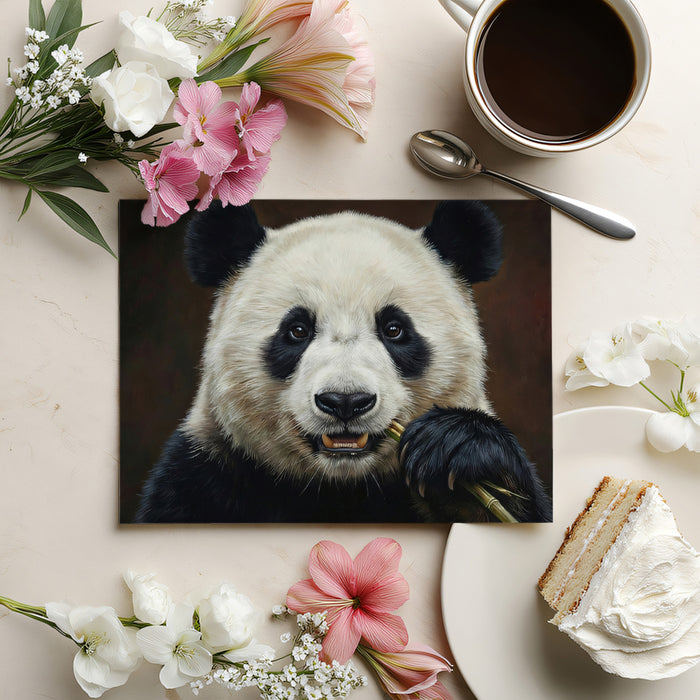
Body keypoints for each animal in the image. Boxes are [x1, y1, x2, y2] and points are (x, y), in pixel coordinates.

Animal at [135, 200, 552, 523]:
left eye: (395, 329)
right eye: (297, 330)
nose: (345, 402)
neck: (341, 488)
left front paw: (457, 450)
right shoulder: (206, 475)